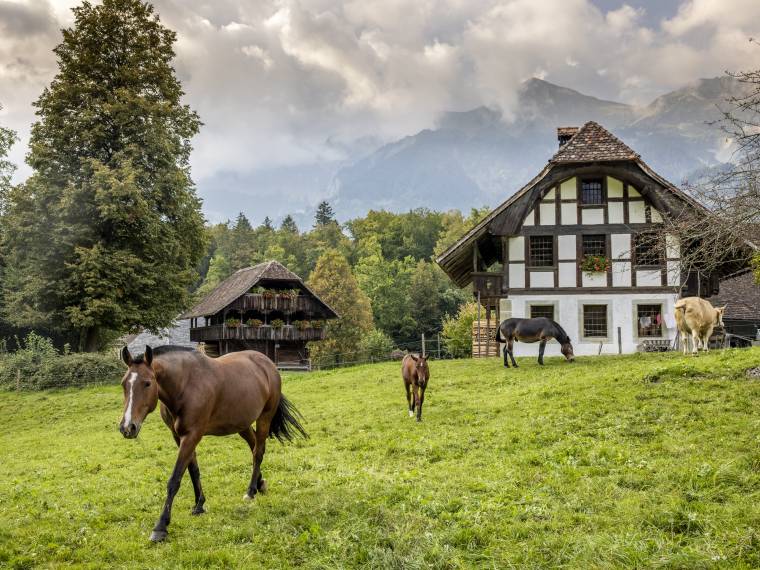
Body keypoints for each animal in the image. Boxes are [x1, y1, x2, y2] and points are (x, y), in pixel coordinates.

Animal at [118, 344, 306, 540]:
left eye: (147, 383)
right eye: (124, 384)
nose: (127, 427)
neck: (185, 384)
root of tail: (268, 363)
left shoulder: (192, 435)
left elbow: (175, 479)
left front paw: (160, 526)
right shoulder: (179, 436)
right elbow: (193, 470)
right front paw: (199, 505)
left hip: (264, 418)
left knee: (258, 452)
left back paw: (250, 491)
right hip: (242, 424)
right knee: (254, 445)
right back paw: (260, 484)